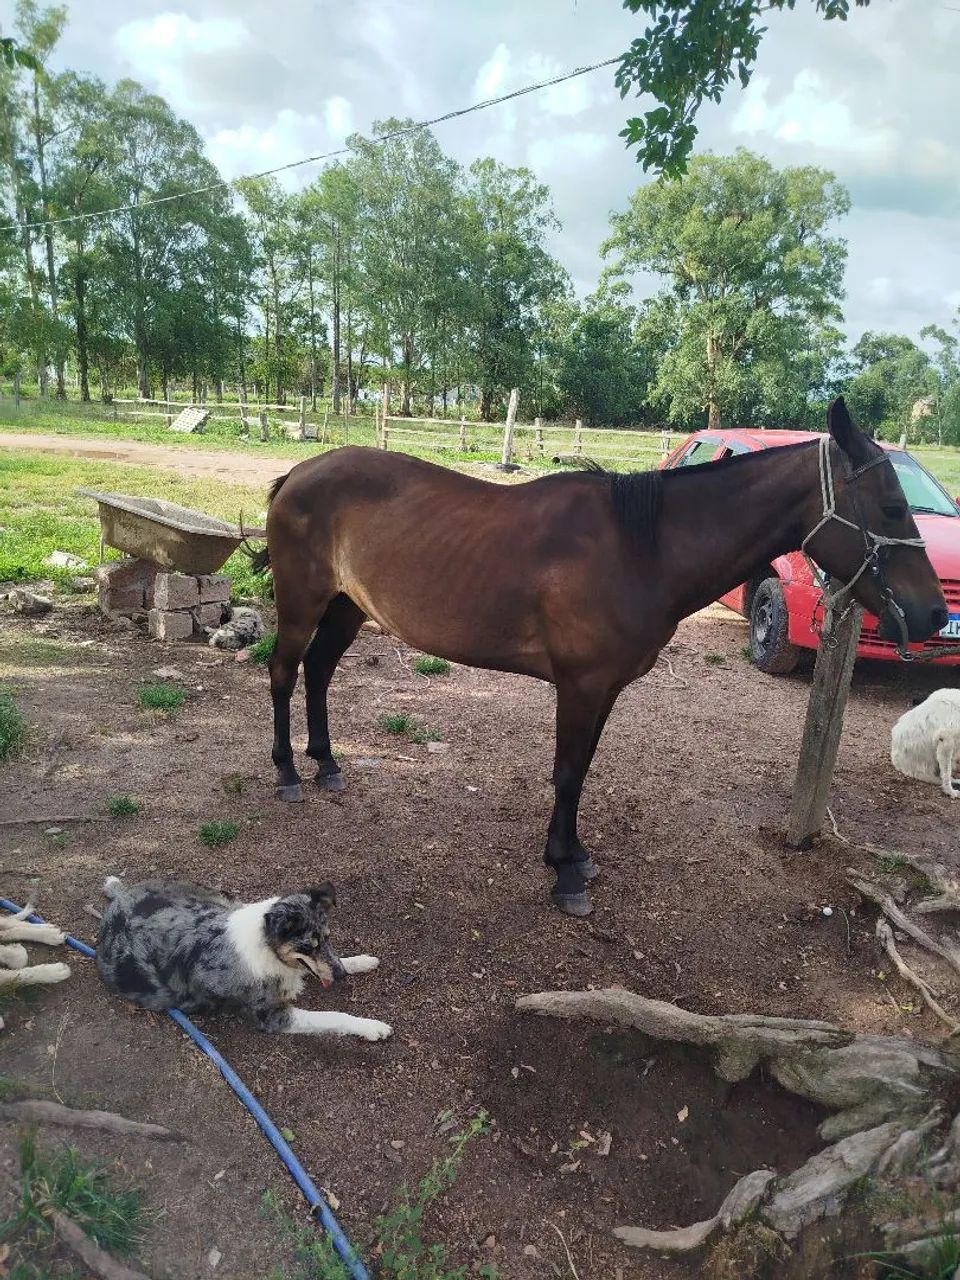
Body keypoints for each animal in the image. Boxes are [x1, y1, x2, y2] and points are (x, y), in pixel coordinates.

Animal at [252, 397, 947, 917]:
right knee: (285, 672)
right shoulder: (580, 686)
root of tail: (298, 474)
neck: (640, 550)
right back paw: (288, 772)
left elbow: (582, 771)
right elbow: (565, 772)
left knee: (319, 671)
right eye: (891, 506)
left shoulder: (605, 688)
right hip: (302, 603)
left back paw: (326, 762)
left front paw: (574, 854)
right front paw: (563, 875)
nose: (936, 613)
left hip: (347, 608)